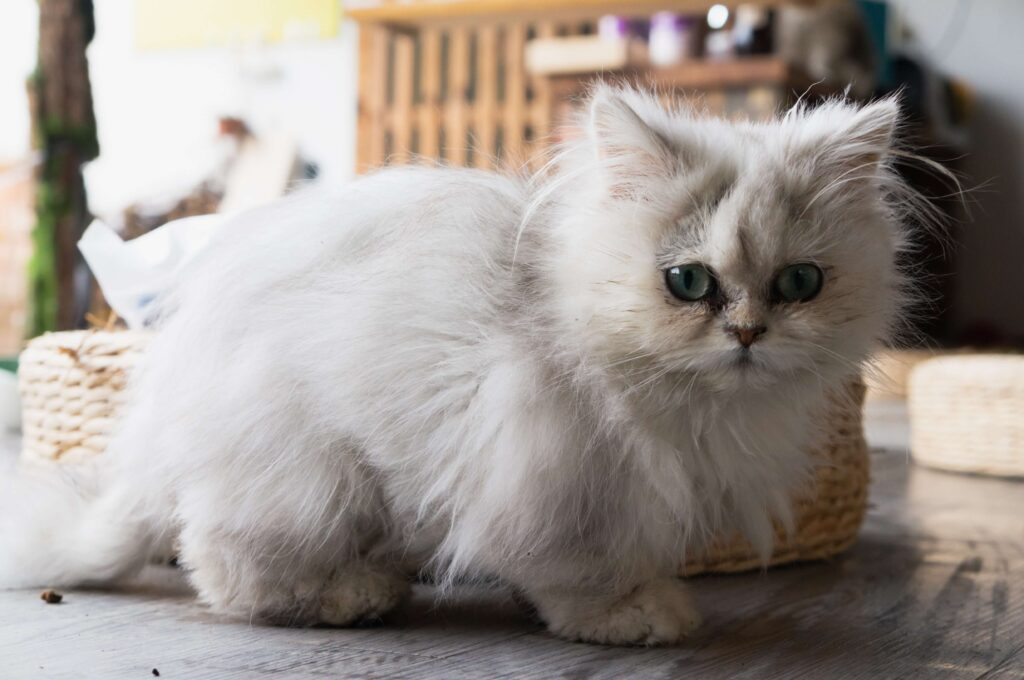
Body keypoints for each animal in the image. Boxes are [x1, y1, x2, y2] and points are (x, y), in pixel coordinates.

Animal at [0, 87, 913, 647]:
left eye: (800, 283)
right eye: (688, 283)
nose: (750, 332)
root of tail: (155, 433)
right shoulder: (550, 466)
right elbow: (578, 569)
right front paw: (630, 615)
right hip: (307, 480)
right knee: (227, 572)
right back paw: (355, 594)